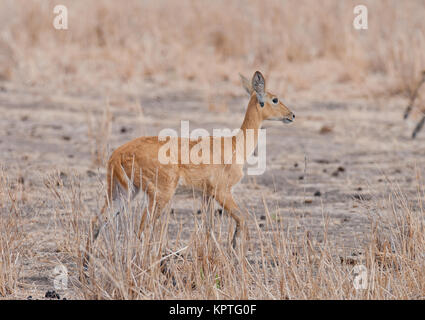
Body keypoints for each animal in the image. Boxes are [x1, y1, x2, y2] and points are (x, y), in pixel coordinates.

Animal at [84, 72, 294, 268]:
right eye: (274, 98)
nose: (292, 115)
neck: (236, 145)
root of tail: (117, 155)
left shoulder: (206, 195)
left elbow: (208, 228)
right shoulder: (222, 192)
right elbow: (241, 218)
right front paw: (234, 253)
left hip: (123, 192)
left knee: (97, 221)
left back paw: (86, 265)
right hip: (158, 195)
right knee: (143, 227)